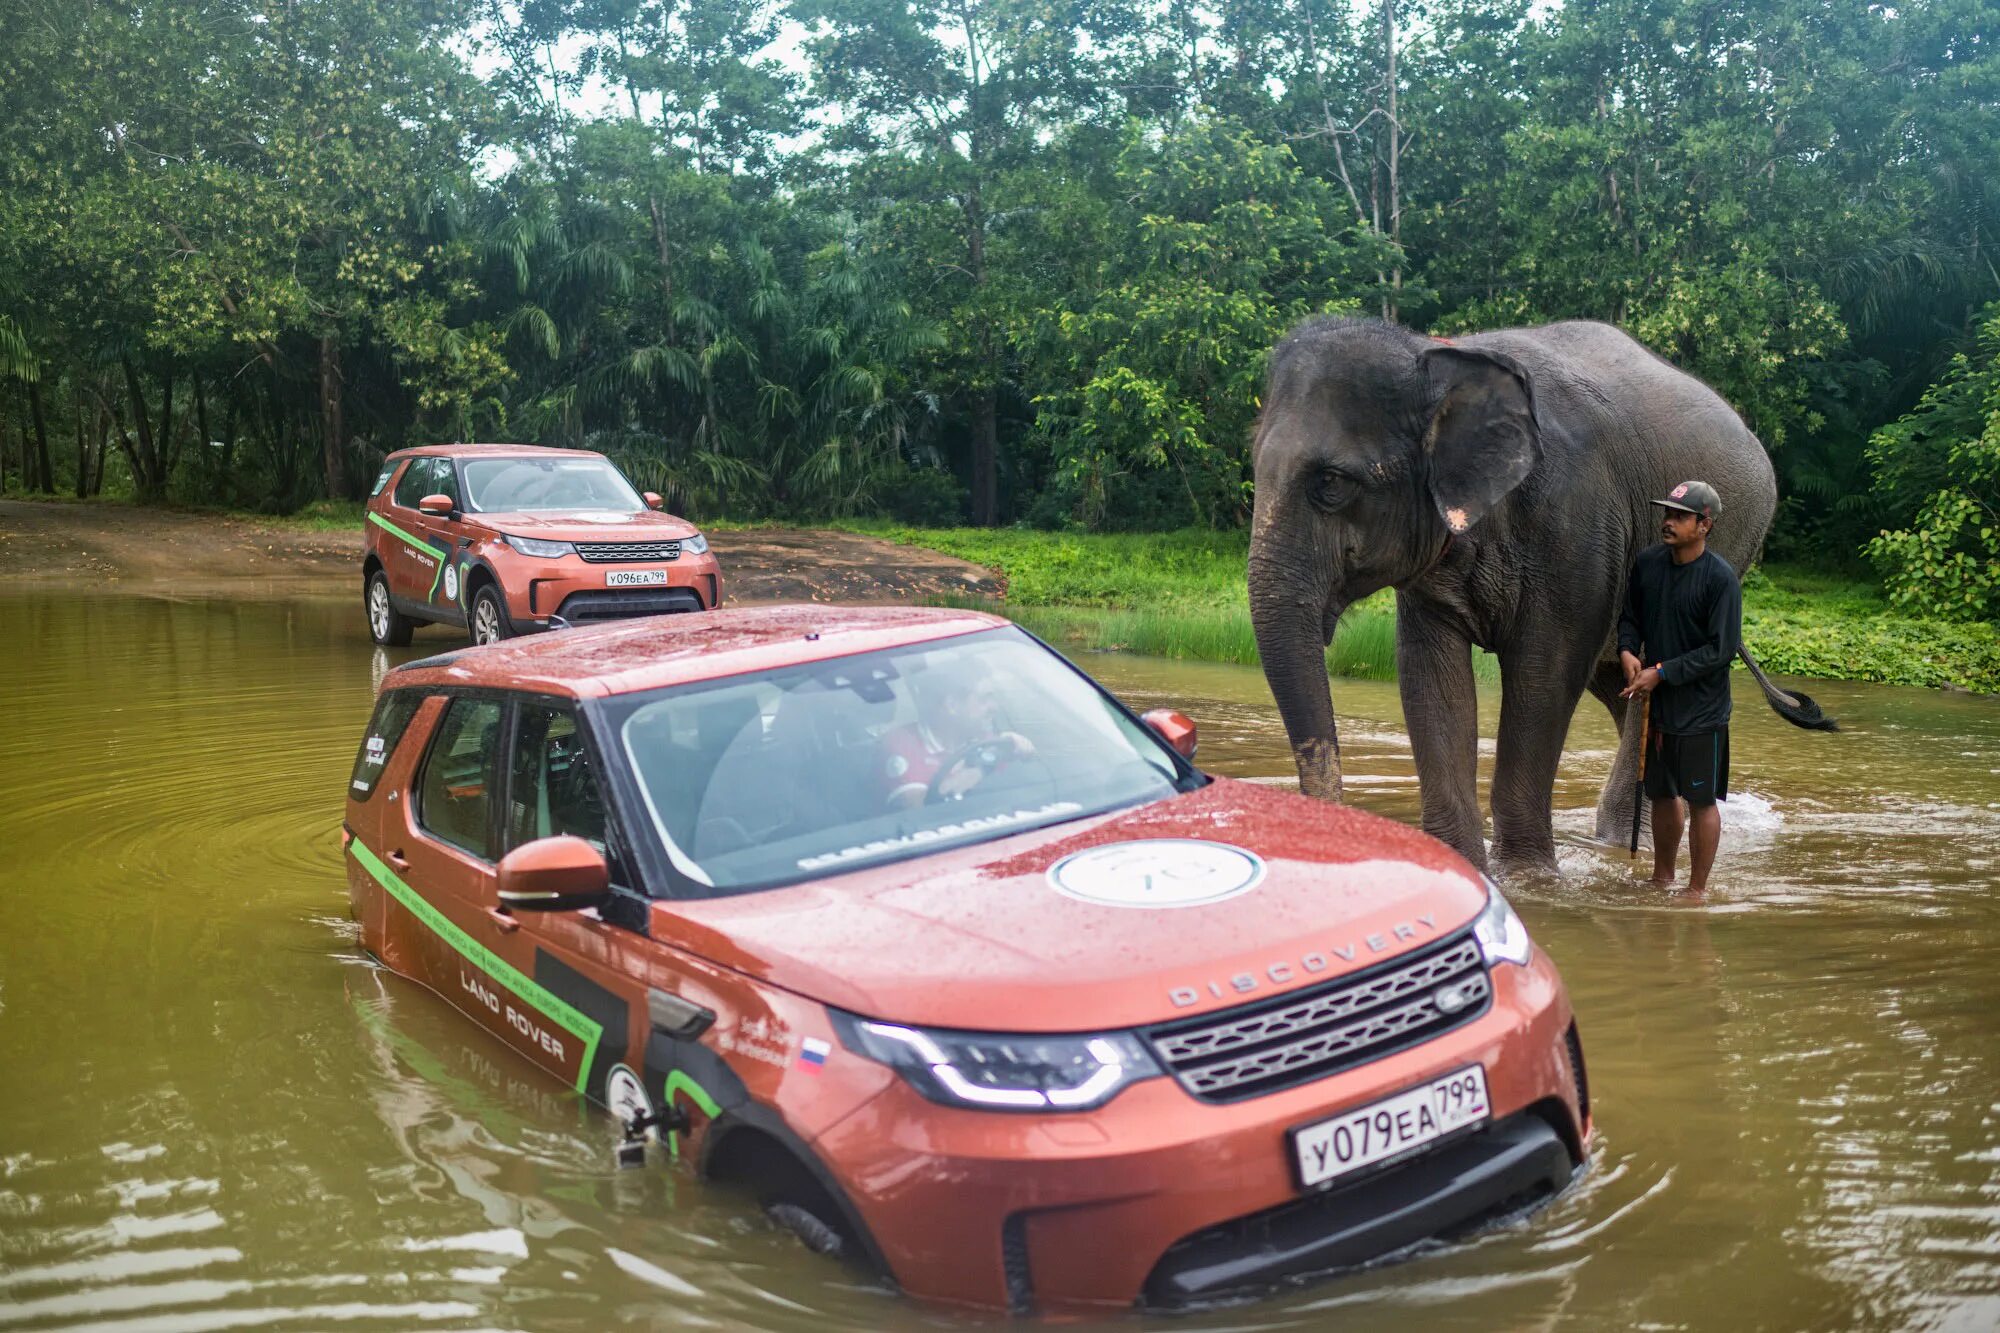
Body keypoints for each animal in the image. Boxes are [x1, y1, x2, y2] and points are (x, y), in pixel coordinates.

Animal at [1248, 316, 1832, 868]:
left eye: (1331, 483)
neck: (1434, 353)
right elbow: (1430, 674)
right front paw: (1464, 866)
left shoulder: (1578, 524)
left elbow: (1544, 673)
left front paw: (1529, 878)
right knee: (1618, 684)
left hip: (1730, 542)